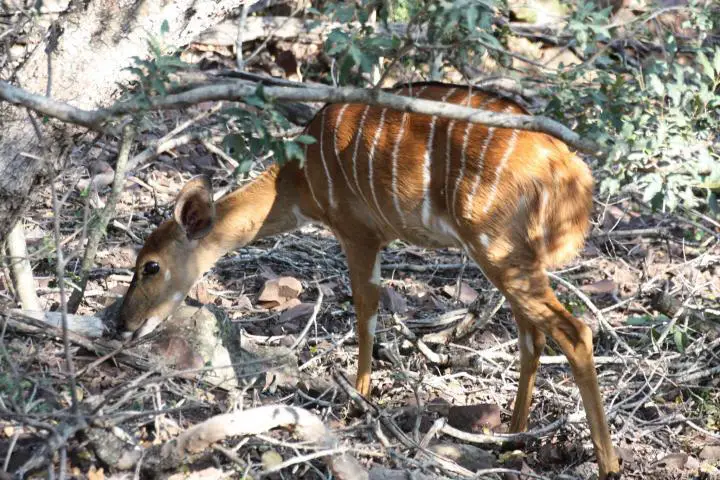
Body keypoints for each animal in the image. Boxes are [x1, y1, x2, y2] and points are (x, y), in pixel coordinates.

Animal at [116, 82, 620, 476]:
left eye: (150, 266)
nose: (122, 324)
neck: (298, 177)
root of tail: (569, 170)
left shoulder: (357, 232)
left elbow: (365, 314)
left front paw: (357, 401)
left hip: (496, 247)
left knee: (573, 331)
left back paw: (608, 465)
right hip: (511, 256)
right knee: (533, 335)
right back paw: (513, 438)